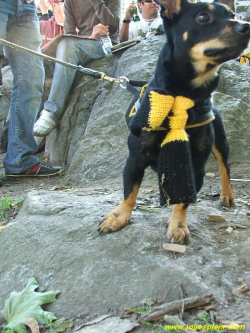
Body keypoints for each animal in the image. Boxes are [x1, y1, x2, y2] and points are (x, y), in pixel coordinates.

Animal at [98, 0, 250, 244]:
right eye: (202, 17)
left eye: (234, 14)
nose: (246, 26)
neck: (182, 97)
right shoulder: (135, 158)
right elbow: (129, 192)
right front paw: (118, 217)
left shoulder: (195, 165)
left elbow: (184, 201)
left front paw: (177, 226)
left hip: (221, 141)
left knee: (224, 167)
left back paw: (227, 195)